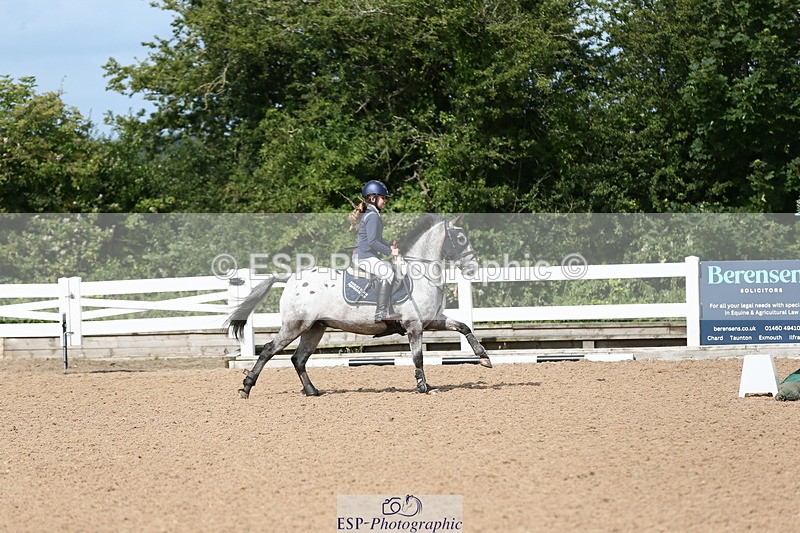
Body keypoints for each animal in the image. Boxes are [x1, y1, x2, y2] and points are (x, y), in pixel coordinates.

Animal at [226, 214, 493, 398]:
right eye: (461, 238)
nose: (473, 269)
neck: (422, 276)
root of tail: (291, 278)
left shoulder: (431, 320)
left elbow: (464, 326)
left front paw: (484, 358)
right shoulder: (414, 325)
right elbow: (418, 357)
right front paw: (423, 386)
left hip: (315, 328)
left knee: (298, 359)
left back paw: (312, 391)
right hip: (295, 325)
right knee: (269, 350)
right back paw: (246, 388)